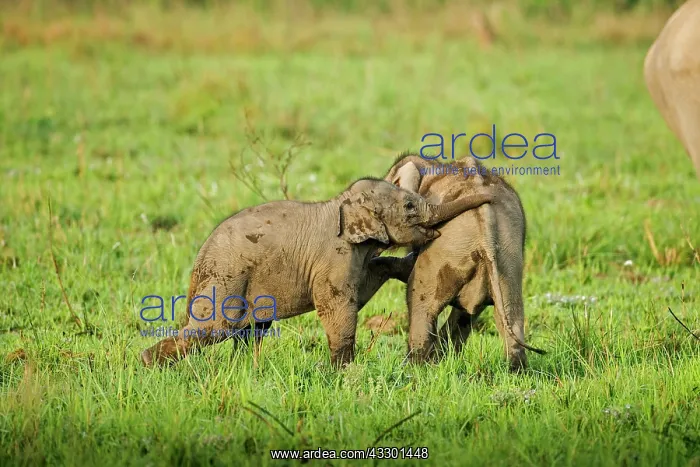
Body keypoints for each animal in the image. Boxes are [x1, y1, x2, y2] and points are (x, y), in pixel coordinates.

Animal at [140, 177, 495, 368]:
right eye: (409, 207)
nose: (491, 195)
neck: (342, 202)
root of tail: (199, 259)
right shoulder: (333, 256)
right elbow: (339, 305)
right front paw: (343, 374)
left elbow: (367, 282)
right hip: (226, 279)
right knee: (213, 329)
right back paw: (148, 364)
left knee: (251, 332)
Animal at [384, 154, 545, 372]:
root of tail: (486, 217)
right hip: (509, 257)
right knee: (510, 314)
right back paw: (516, 372)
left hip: (444, 251)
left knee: (420, 303)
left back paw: (413, 369)